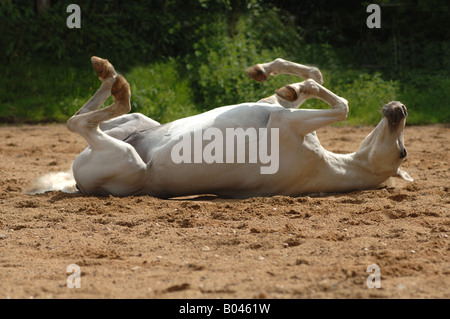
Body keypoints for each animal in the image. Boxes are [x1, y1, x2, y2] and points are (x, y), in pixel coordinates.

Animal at [38, 56, 414, 199]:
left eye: (403, 152)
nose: (399, 108)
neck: (329, 163)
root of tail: (79, 185)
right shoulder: (278, 110)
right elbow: (314, 79)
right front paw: (272, 74)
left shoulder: (284, 121)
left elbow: (343, 106)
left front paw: (292, 83)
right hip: (139, 125)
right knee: (96, 116)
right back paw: (110, 74)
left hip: (126, 158)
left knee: (79, 121)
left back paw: (114, 80)